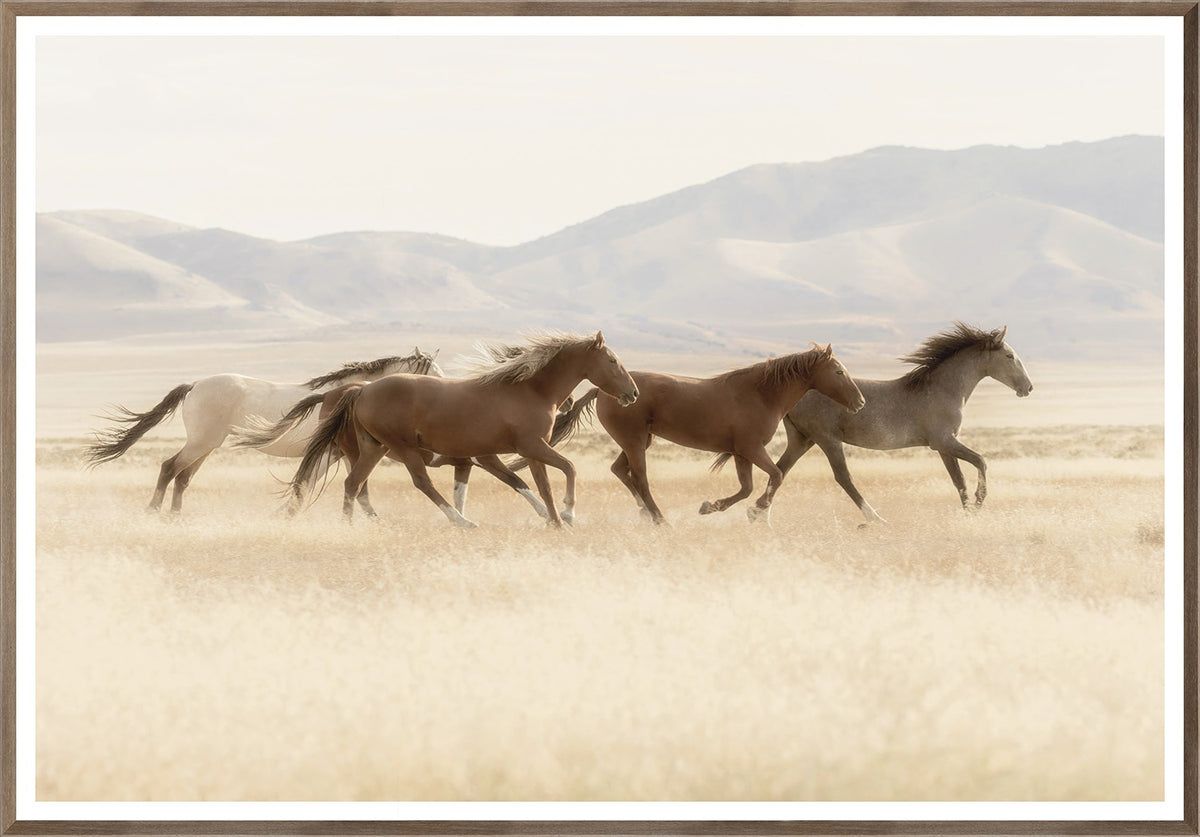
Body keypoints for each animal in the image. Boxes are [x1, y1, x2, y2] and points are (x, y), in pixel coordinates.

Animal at [84, 349, 441, 514]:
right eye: (433, 374)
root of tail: (195, 384)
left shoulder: (336, 454)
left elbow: (319, 484)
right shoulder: (332, 452)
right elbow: (312, 484)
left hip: (207, 446)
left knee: (183, 476)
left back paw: (174, 517)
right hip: (201, 442)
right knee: (169, 467)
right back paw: (154, 512)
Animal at [233, 380, 555, 521]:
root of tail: (336, 393)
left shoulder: (465, 463)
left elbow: (461, 493)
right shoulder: (485, 458)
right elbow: (516, 481)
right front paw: (548, 514)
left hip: (351, 453)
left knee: (348, 484)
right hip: (353, 452)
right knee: (347, 483)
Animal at [288, 331, 639, 528]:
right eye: (612, 360)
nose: (633, 394)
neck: (530, 390)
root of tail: (362, 391)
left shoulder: (519, 452)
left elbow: (536, 485)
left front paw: (553, 521)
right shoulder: (531, 447)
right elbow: (568, 469)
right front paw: (567, 516)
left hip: (374, 447)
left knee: (354, 484)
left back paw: (348, 526)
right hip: (401, 448)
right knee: (421, 483)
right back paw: (461, 521)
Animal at [542, 343, 865, 525]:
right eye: (838, 372)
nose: (860, 402)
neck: (760, 394)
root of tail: (606, 391)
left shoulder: (740, 453)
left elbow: (747, 487)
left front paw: (711, 507)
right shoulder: (752, 448)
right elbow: (776, 476)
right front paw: (755, 510)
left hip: (639, 441)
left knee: (619, 470)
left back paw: (645, 514)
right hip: (634, 442)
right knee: (640, 479)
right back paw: (659, 519)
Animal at [713, 323, 1033, 523]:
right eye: (1009, 356)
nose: (1028, 388)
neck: (943, 389)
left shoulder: (943, 447)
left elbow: (959, 480)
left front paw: (968, 512)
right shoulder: (944, 441)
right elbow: (981, 462)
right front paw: (978, 505)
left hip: (802, 439)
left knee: (780, 471)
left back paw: (758, 514)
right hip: (827, 439)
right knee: (843, 478)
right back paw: (875, 518)